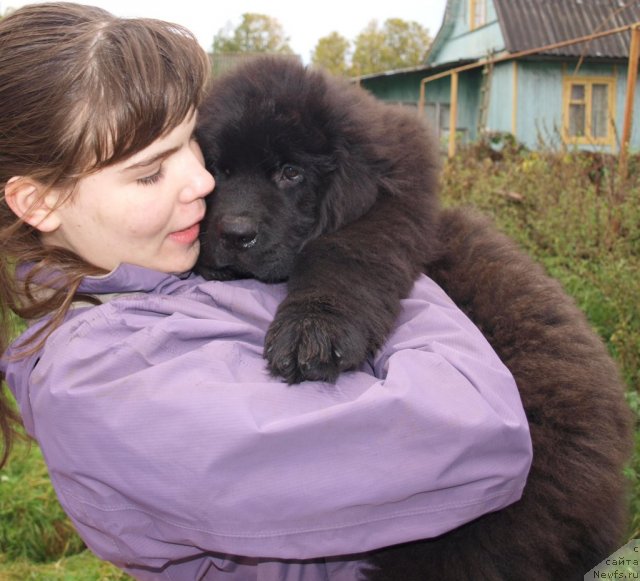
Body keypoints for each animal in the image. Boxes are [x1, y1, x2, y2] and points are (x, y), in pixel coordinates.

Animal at [196, 55, 636, 580]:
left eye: (290, 172)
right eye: (217, 171)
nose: (234, 234)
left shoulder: (391, 205)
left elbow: (348, 249)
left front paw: (311, 328)